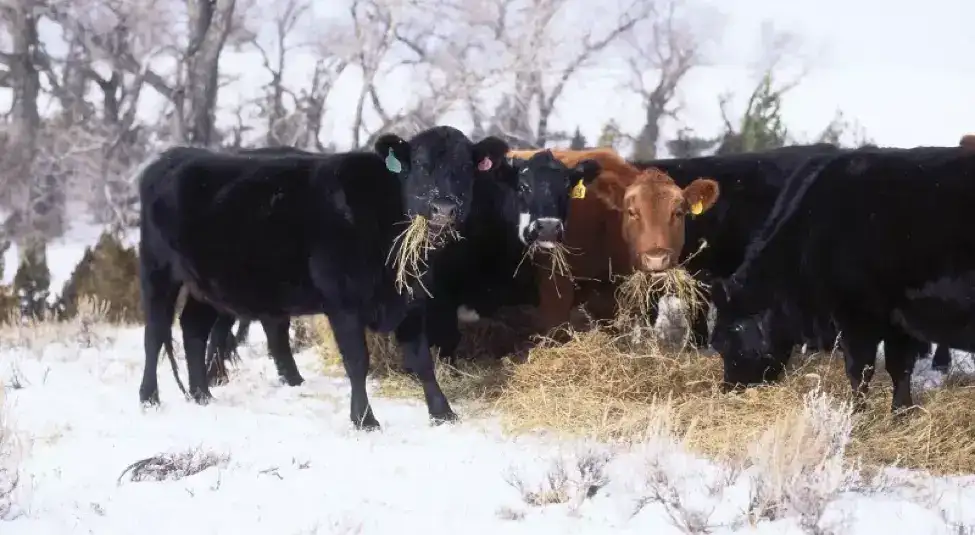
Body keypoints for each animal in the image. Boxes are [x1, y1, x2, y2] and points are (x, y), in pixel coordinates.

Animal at [708, 144, 975, 412]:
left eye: (730, 338)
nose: (727, 388)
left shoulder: (856, 314)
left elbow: (860, 370)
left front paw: (857, 412)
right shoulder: (897, 320)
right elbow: (900, 369)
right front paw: (900, 412)